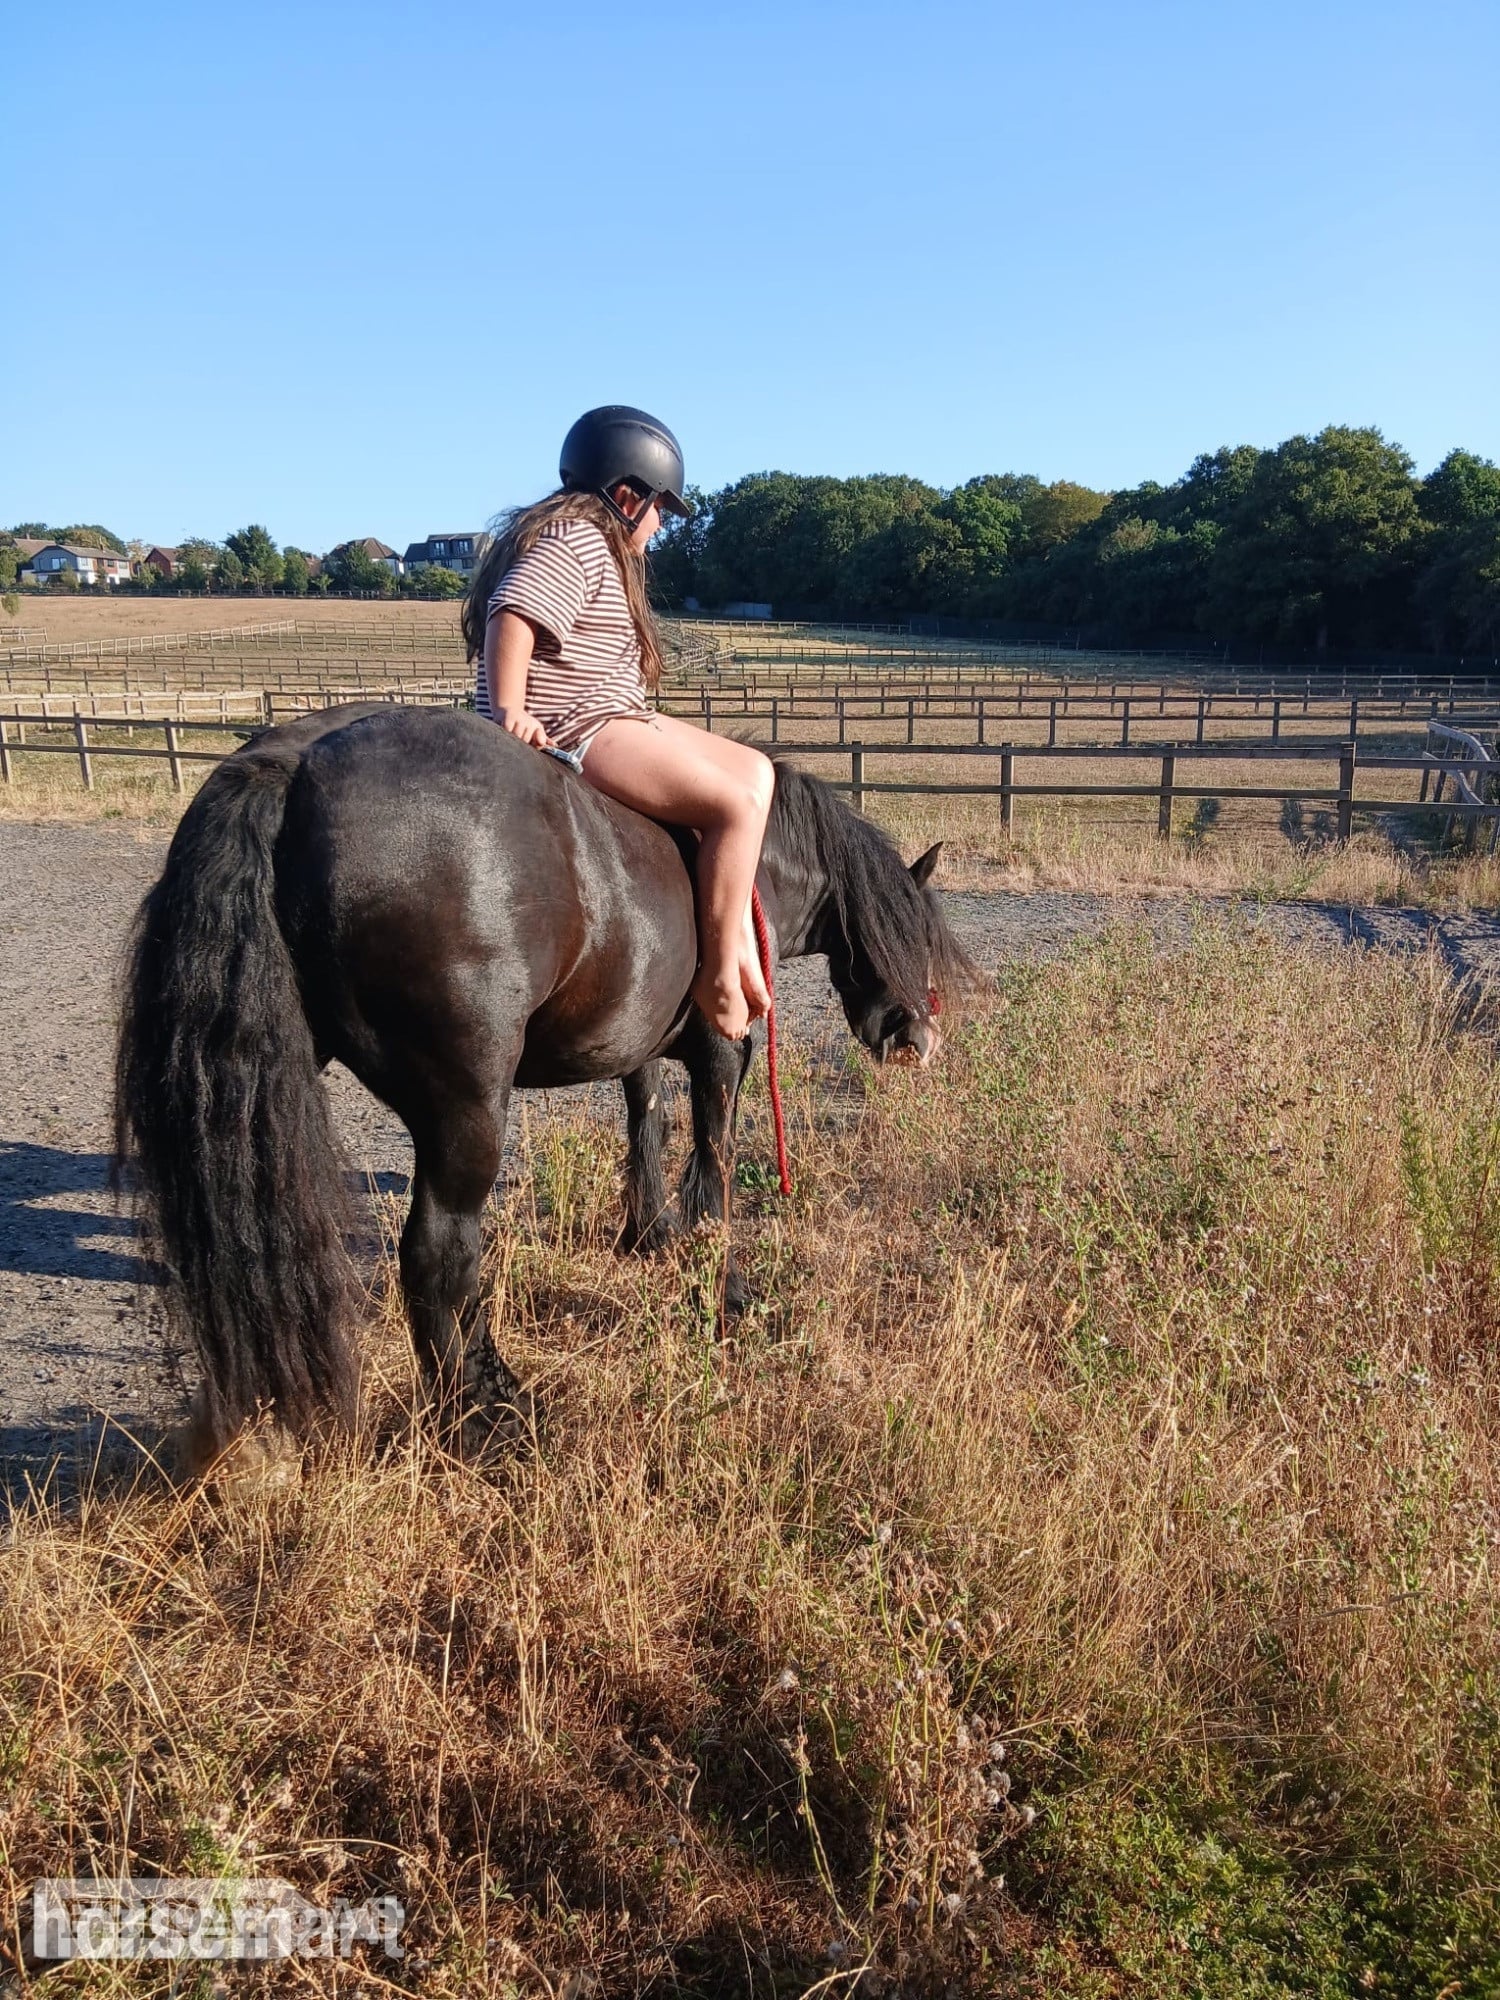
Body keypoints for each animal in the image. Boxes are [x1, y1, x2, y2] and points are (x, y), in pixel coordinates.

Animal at [114, 702, 973, 1459]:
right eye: (904, 932)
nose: (920, 1040)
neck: (753, 869)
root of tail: (292, 766)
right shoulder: (722, 1051)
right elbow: (716, 1170)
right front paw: (724, 1293)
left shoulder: (636, 1043)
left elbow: (647, 1125)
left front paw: (648, 1236)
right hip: (465, 1109)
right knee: (438, 1253)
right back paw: (485, 1415)